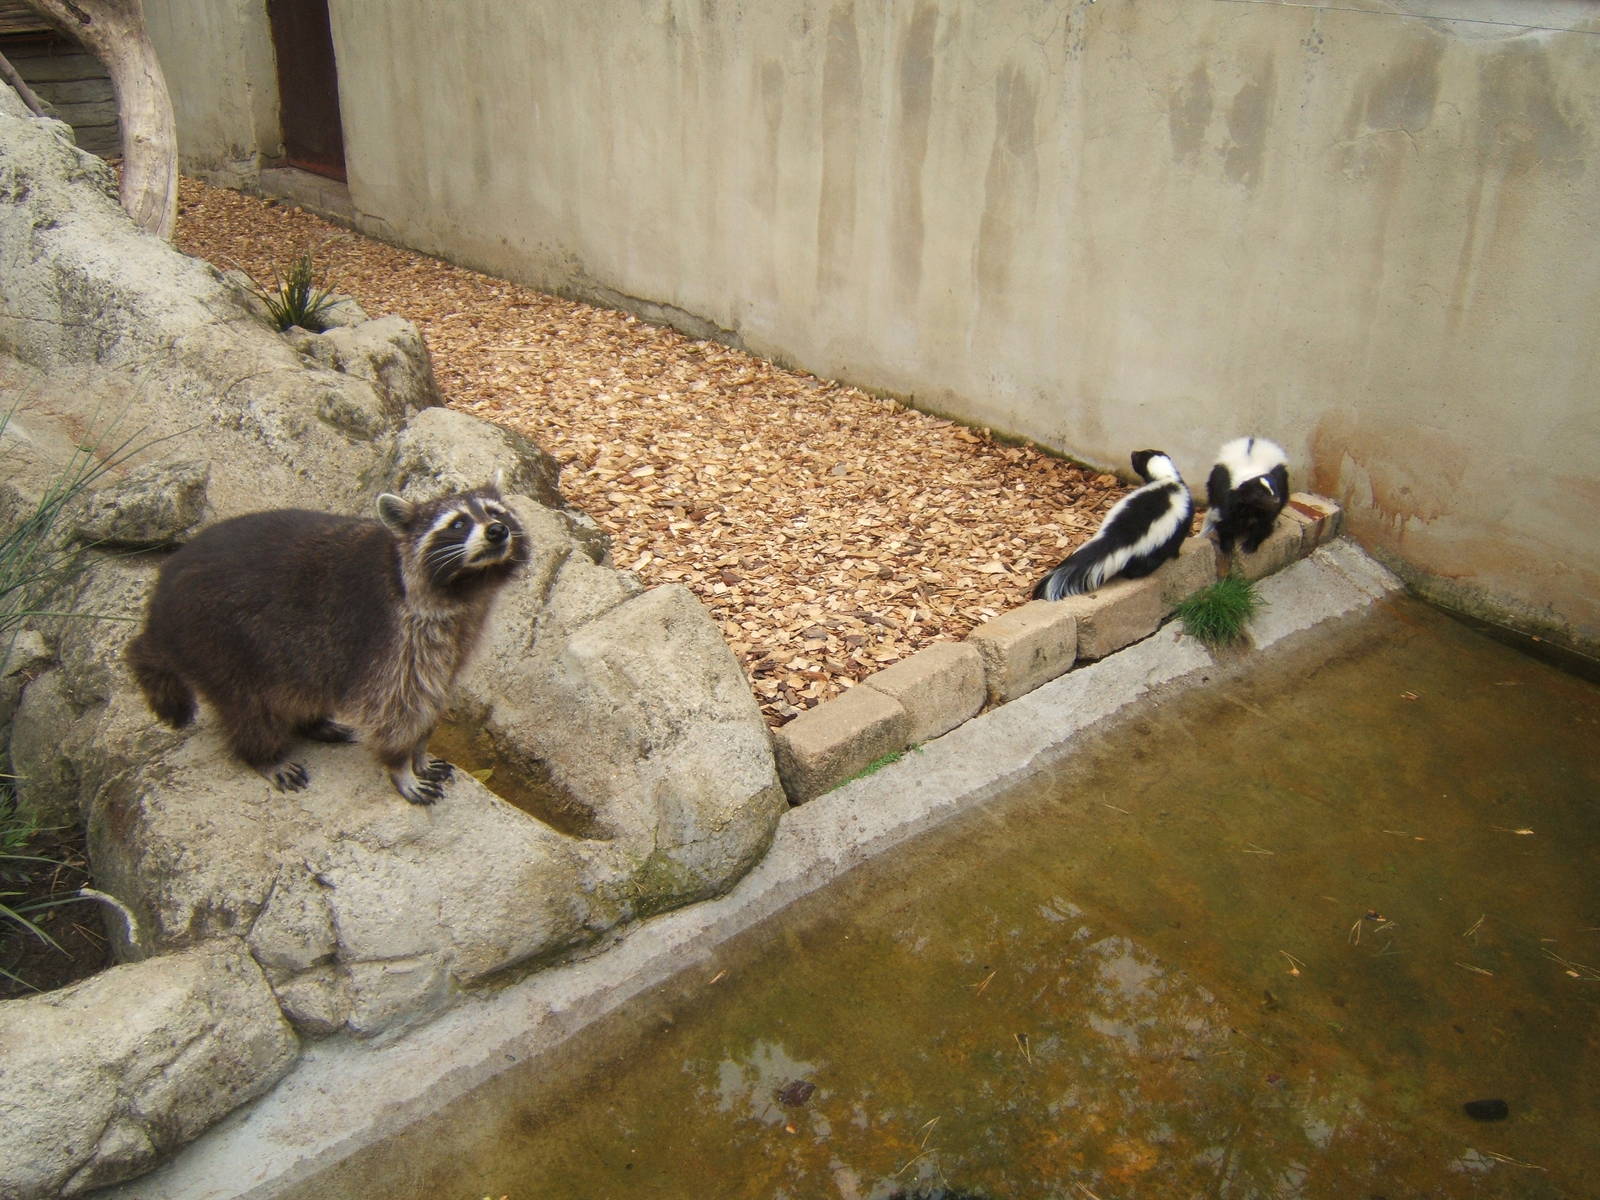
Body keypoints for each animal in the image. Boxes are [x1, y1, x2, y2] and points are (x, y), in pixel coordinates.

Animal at [126, 479, 527, 804]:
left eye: (496, 512)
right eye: (458, 523)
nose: (497, 530)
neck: (467, 587)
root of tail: (157, 610)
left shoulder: (459, 632)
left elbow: (438, 689)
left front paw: (420, 752)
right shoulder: (394, 635)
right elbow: (398, 703)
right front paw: (401, 764)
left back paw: (312, 722)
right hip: (216, 638)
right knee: (249, 705)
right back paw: (264, 754)